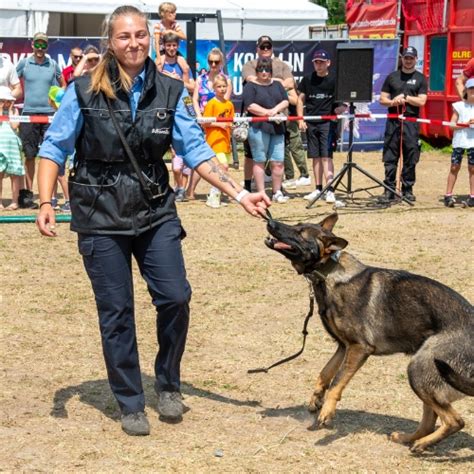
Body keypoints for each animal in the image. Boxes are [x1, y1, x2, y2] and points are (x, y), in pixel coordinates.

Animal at [264, 214, 472, 452]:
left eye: (300, 232)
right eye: (297, 224)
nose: (269, 221)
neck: (328, 271)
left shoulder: (359, 348)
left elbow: (337, 381)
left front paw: (327, 412)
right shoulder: (343, 347)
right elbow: (325, 373)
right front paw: (316, 398)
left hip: (419, 370)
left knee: (455, 421)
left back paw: (421, 444)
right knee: (430, 421)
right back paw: (408, 438)